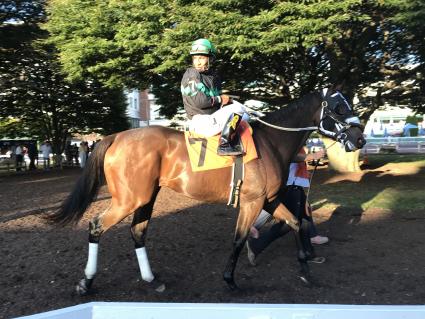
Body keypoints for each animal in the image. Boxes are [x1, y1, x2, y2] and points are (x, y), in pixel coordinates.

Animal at [47, 87, 364, 296]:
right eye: (339, 108)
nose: (360, 138)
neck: (271, 142)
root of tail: (116, 136)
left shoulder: (269, 200)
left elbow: (296, 222)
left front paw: (306, 271)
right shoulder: (252, 202)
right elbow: (238, 239)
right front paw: (230, 280)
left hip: (146, 197)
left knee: (137, 232)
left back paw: (152, 279)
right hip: (128, 199)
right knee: (96, 226)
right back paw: (87, 281)